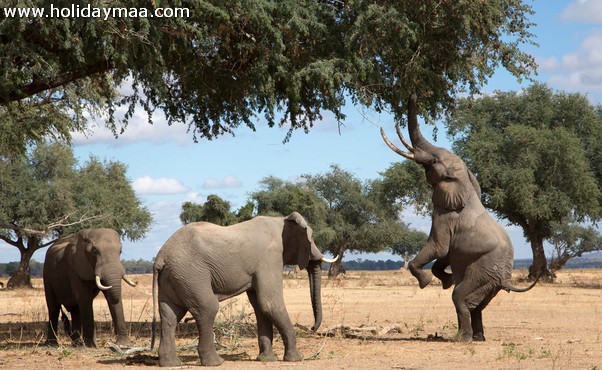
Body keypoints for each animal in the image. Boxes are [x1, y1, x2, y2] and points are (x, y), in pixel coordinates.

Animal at [149, 211, 332, 368]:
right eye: (311, 238)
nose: (312, 328)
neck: (281, 220)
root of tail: (161, 256)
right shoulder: (269, 258)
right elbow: (270, 304)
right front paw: (296, 358)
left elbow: (260, 307)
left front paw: (266, 359)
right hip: (191, 274)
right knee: (207, 308)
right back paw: (216, 362)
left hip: (174, 277)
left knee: (170, 315)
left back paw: (171, 363)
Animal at [380, 92, 540, 342]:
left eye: (434, 161)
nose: (413, 92)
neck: (465, 182)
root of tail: (505, 278)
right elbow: (445, 255)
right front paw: (446, 280)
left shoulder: (445, 216)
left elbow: (438, 247)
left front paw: (428, 282)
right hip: (489, 279)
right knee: (478, 305)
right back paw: (477, 337)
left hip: (484, 269)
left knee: (460, 297)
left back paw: (461, 339)